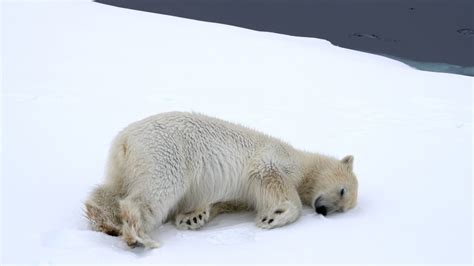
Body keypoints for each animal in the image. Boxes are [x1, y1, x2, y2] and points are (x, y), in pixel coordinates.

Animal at [85, 111, 360, 248]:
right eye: (343, 191)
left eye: (342, 210)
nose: (323, 210)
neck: (302, 162)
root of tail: (125, 139)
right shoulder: (272, 158)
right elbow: (271, 178)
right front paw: (272, 217)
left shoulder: (242, 194)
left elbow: (226, 201)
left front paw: (193, 217)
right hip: (166, 153)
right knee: (156, 191)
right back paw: (140, 237)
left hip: (125, 164)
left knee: (111, 189)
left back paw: (103, 220)